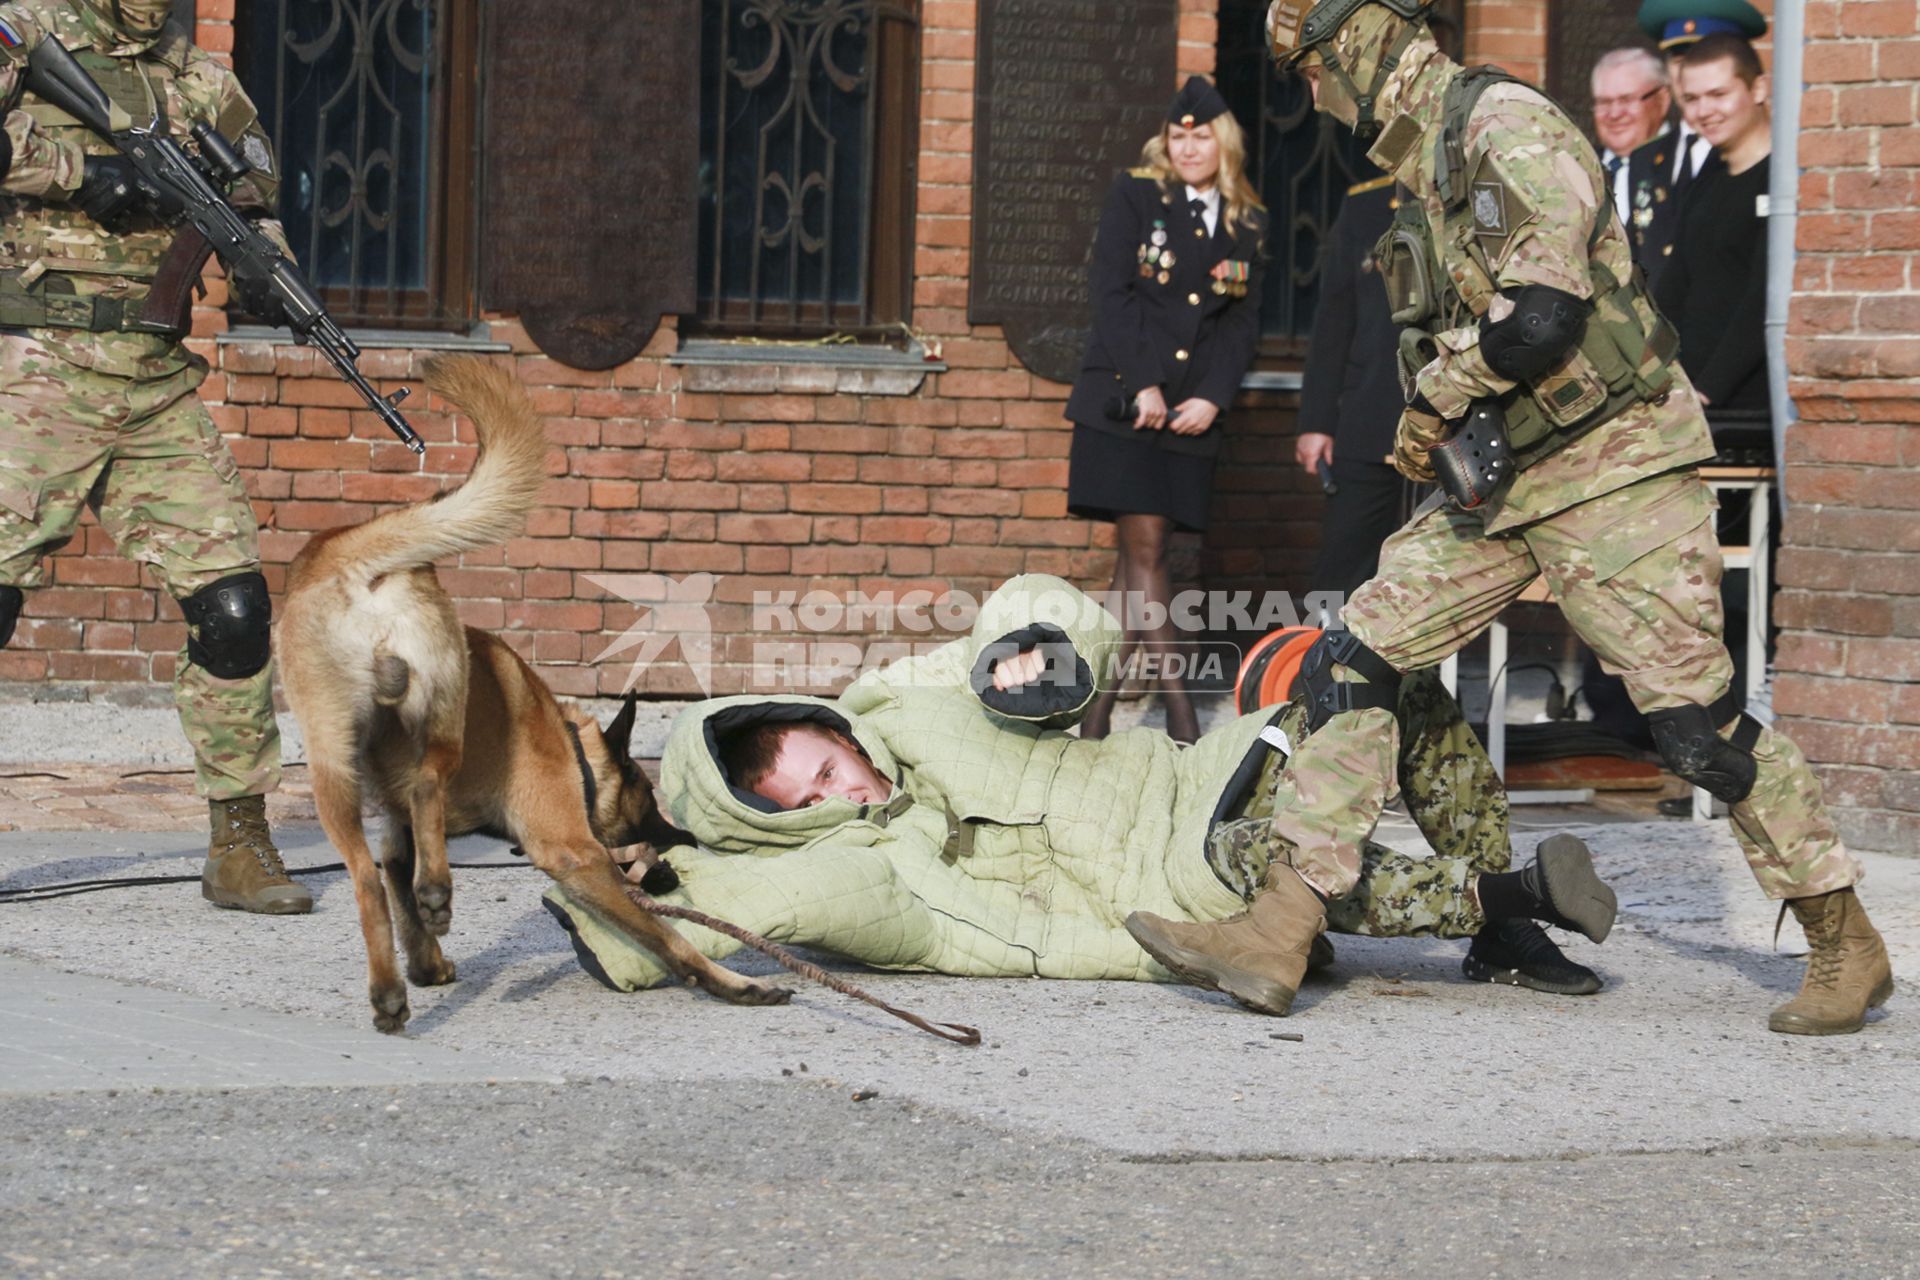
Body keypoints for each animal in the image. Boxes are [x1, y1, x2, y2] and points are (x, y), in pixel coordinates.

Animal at [274, 358, 791, 1028]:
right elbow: (666, 936)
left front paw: (424, 965)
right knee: (429, 778)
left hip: (330, 761)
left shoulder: (396, 831)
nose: (685, 843)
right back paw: (439, 888)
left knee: (364, 874)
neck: (570, 745)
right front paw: (732, 983)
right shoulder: (574, 853)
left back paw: (389, 989)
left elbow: (398, 891)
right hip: (446, 694)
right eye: (647, 801)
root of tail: (342, 548)